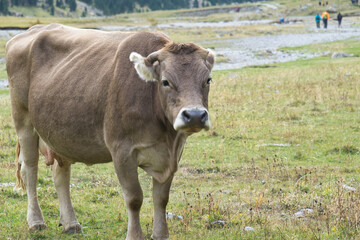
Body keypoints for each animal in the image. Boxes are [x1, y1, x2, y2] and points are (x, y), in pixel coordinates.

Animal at [5, 23, 214, 239]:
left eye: (208, 80)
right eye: (165, 81)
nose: (195, 115)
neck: (165, 135)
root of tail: (34, 29)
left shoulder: (173, 153)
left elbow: (161, 198)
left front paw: (160, 235)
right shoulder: (122, 150)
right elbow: (134, 198)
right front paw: (134, 235)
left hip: (59, 134)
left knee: (60, 174)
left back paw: (70, 223)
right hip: (24, 121)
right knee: (30, 170)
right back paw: (36, 221)